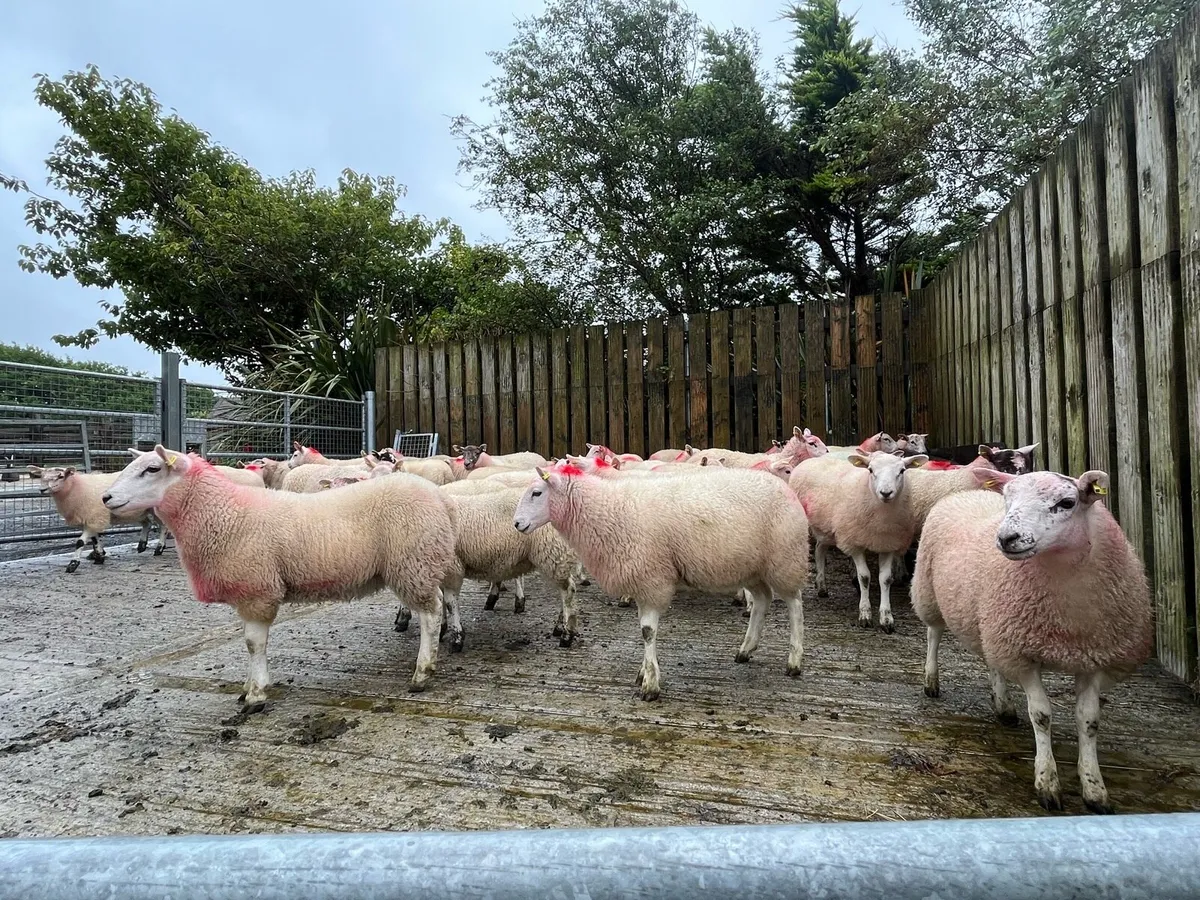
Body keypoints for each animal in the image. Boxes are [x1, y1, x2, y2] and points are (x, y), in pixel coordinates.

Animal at [28, 463, 169, 571]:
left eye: (60, 476)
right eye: (41, 476)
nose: (42, 489)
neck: (76, 488)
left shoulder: (94, 517)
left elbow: (80, 542)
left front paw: (73, 564)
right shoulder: (92, 519)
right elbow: (95, 540)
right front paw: (99, 556)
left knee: (163, 526)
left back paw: (159, 548)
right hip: (139, 511)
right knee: (147, 523)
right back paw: (142, 545)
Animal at [102, 445, 458, 703]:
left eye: (152, 469)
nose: (105, 497)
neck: (225, 513)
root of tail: (438, 495)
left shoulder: (258, 590)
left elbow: (253, 643)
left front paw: (256, 694)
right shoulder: (247, 590)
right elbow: (249, 643)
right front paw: (248, 687)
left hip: (413, 562)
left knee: (430, 612)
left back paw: (422, 672)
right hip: (420, 564)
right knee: (440, 600)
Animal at [513, 464, 810, 701]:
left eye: (537, 493)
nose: (516, 524)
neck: (608, 511)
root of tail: (785, 488)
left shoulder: (652, 578)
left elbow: (647, 632)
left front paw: (650, 685)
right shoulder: (642, 581)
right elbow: (644, 630)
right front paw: (643, 673)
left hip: (785, 558)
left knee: (794, 604)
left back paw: (794, 661)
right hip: (752, 568)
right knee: (762, 600)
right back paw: (745, 650)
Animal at [789, 450, 928, 632]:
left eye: (902, 470)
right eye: (870, 470)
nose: (885, 492)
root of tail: (812, 460)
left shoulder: (888, 543)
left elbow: (885, 579)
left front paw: (886, 618)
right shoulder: (854, 542)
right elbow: (864, 577)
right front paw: (865, 615)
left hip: (826, 528)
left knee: (820, 549)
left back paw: (822, 585)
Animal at [912, 468, 1152, 813]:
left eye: (1067, 502)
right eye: (1007, 498)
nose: (1006, 538)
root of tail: (965, 493)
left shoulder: (1093, 657)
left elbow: (1089, 720)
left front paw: (1094, 787)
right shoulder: (1022, 656)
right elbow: (1041, 715)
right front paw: (1047, 782)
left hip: (992, 624)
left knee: (992, 661)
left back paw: (1003, 706)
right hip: (929, 592)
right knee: (933, 634)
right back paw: (931, 681)